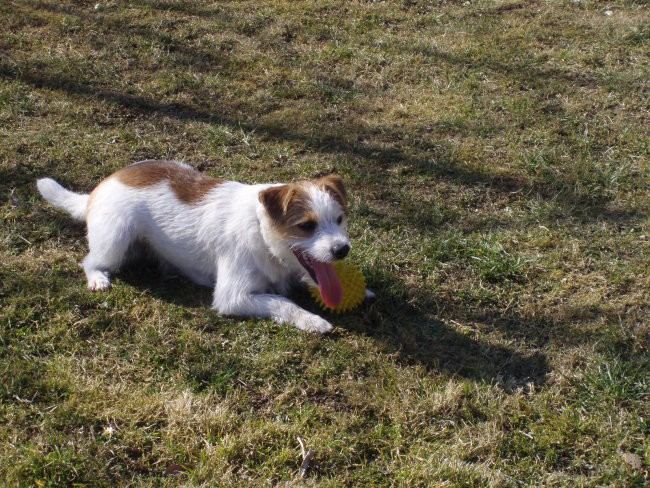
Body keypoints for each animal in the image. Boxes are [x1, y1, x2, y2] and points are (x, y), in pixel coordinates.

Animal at [36, 160, 370, 332]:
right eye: (307, 226)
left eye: (340, 219)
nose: (342, 250)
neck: (261, 229)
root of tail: (94, 193)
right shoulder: (233, 297)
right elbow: (282, 303)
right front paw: (312, 320)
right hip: (115, 240)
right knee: (91, 260)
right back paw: (97, 277)